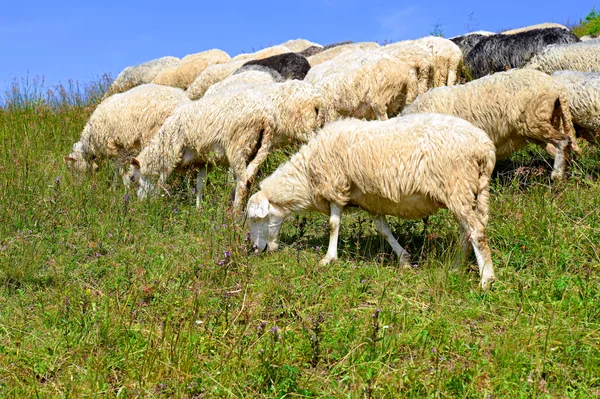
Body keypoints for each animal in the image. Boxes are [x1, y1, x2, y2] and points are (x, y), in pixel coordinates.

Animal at [129, 90, 276, 212]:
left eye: (132, 178)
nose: (140, 203)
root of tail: (265, 115)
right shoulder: (203, 162)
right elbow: (200, 186)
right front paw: (198, 209)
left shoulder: (171, 157)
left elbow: (161, 182)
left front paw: (154, 203)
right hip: (260, 148)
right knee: (249, 179)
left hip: (239, 146)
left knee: (242, 182)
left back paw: (235, 213)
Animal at [247, 114, 496, 292]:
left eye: (256, 219)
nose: (256, 250)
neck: (307, 175)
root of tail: (484, 146)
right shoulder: (372, 200)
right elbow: (383, 229)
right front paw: (404, 259)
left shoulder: (335, 187)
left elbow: (333, 225)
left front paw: (328, 259)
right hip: (467, 192)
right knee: (467, 232)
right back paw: (456, 267)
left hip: (457, 185)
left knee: (476, 231)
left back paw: (486, 279)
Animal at [400, 69, 580, 180]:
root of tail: (556, 87)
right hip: (547, 121)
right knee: (560, 146)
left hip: (535, 120)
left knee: (563, 141)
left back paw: (557, 175)